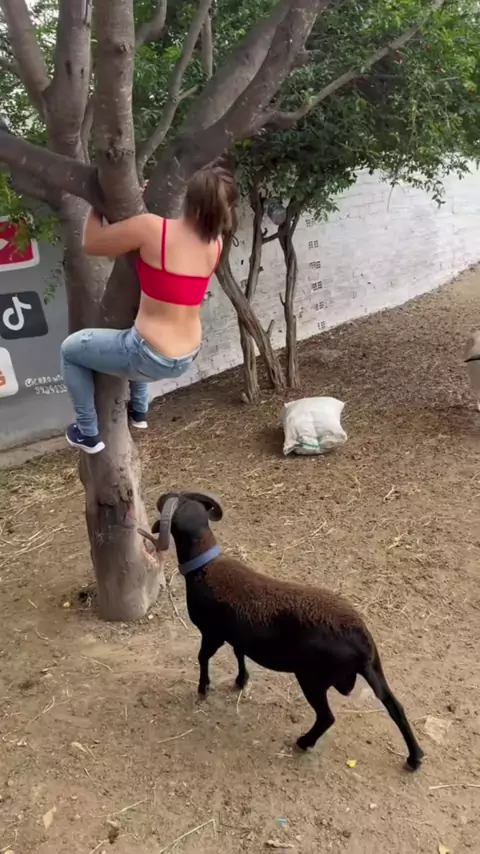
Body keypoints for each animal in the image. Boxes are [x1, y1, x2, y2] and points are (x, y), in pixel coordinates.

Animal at [139, 491, 424, 771]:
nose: (164, 496)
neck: (203, 566)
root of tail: (359, 643)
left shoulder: (212, 633)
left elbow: (203, 658)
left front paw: (203, 688)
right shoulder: (237, 635)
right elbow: (239, 653)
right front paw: (241, 680)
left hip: (312, 678)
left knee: (327, 717)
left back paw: (303, 742)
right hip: (374, 668)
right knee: (394, 705)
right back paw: (415, 757)